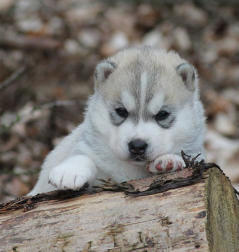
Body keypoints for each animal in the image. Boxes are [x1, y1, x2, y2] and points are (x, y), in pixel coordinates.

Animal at [29, 46, 204, 195]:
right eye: (121, 111)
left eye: (162, 114)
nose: (137, 146)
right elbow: (83, 156)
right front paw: (70, 171)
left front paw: (168, 161)